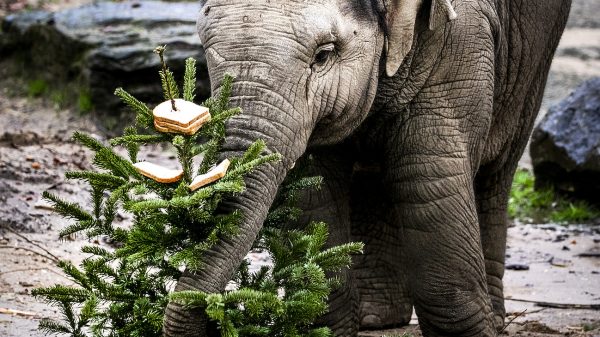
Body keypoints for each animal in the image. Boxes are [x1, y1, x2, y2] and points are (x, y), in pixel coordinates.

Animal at [164, 0, 572, 334]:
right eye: (207, 54)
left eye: (323, 55)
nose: (217, 316)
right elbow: (315, 195)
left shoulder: (460, 42)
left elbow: (430, 185)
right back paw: (377, 319)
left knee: (493, 173)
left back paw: (495, 320)